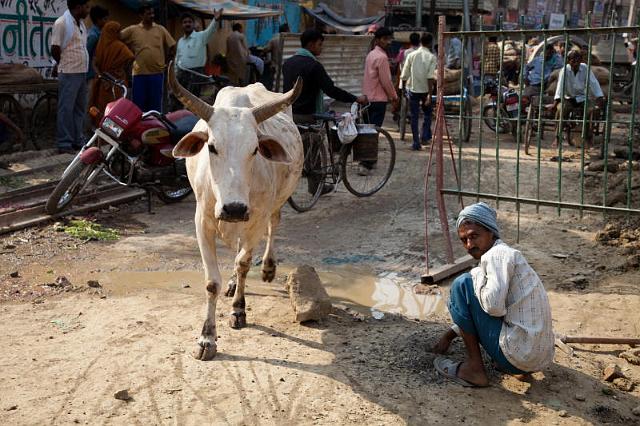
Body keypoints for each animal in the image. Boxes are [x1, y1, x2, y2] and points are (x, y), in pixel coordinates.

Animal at [168, 65, 302, 362]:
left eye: (254, 149)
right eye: (211, 147)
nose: (234, 208)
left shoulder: (256, 219)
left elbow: (243, 263)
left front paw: (239, 310)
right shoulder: (203, 223)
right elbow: (212, 283)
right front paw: (206, 338)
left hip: (275, 205)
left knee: (272, 228)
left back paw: (267, 267)